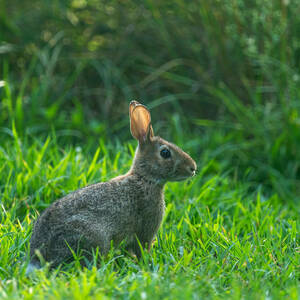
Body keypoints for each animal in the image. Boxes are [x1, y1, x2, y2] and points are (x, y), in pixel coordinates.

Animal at [26, 101, 197, 274]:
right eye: (165, 153)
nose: (193, 168)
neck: (144, 179)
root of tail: (39, 257)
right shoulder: (145, 230)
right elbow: (142, 249)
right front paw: (147, 264)